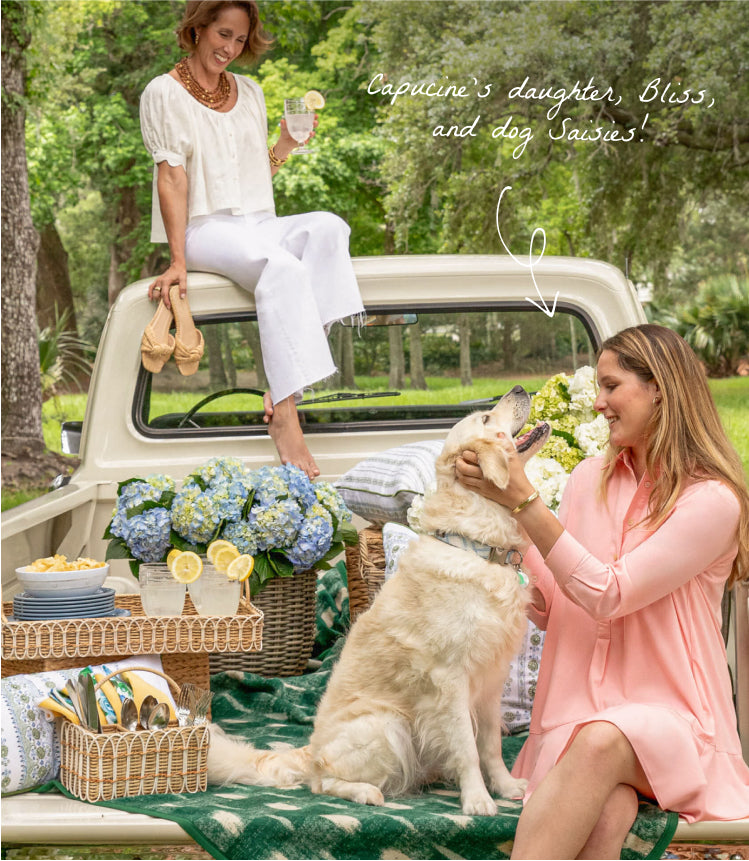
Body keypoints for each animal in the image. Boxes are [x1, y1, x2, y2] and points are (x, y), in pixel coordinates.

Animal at [207, 385, 550, 815]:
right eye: (486, 420)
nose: (520, 389)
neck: (476, 545)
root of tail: (310, 750)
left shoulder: (489, 681)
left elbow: (489, 745)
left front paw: (504, 787)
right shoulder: (450, 679)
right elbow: (468, 749)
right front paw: (477, 800)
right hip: (386, 724)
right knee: (321, 783)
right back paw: (365, 792)